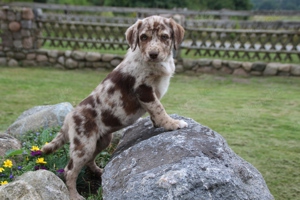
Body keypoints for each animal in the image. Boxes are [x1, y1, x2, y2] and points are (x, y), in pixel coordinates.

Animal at [42, 16, 188, 200]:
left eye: (164, 37)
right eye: (143, 37)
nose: (153, 54)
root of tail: (69, 118)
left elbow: (155, 111)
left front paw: (157, 123)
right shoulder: (144, 90)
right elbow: (159, 109)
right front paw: (172, 124)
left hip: (102, 141)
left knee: (89, 161)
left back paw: (100, 172)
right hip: (83, 145)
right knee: (69, 171)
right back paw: (75, 195)